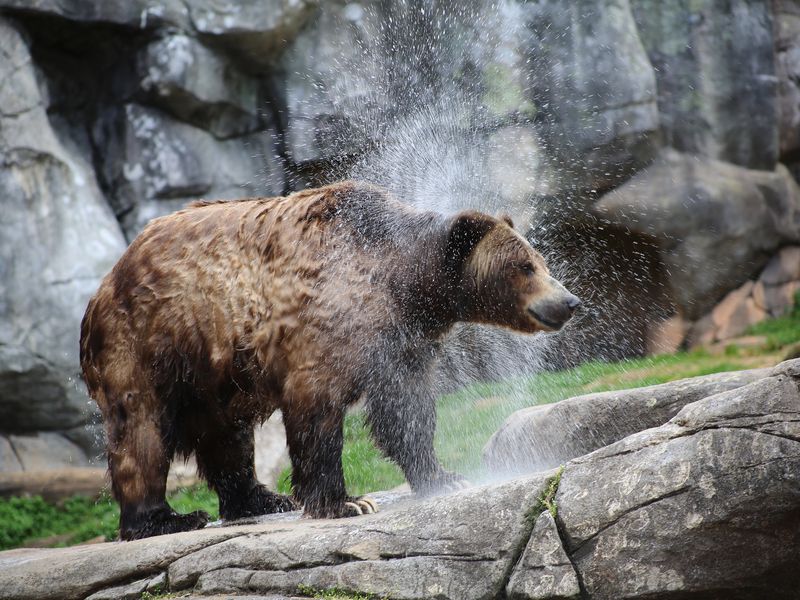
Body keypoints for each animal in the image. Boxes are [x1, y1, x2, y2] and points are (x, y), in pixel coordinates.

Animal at [79, 180, 580, 540]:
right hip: (152, 343)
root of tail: (103, 286)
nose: (569, 301)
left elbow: (406, 410)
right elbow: (317, 414)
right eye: (524, 266)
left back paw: (261, 499)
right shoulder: (325, 323)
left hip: (217, 369)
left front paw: (444, 477)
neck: (403, 282)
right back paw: (167, 518)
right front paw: (347, 502)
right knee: (142, 434)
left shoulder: (399, 342)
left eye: (540, 259)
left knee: (227, 436)